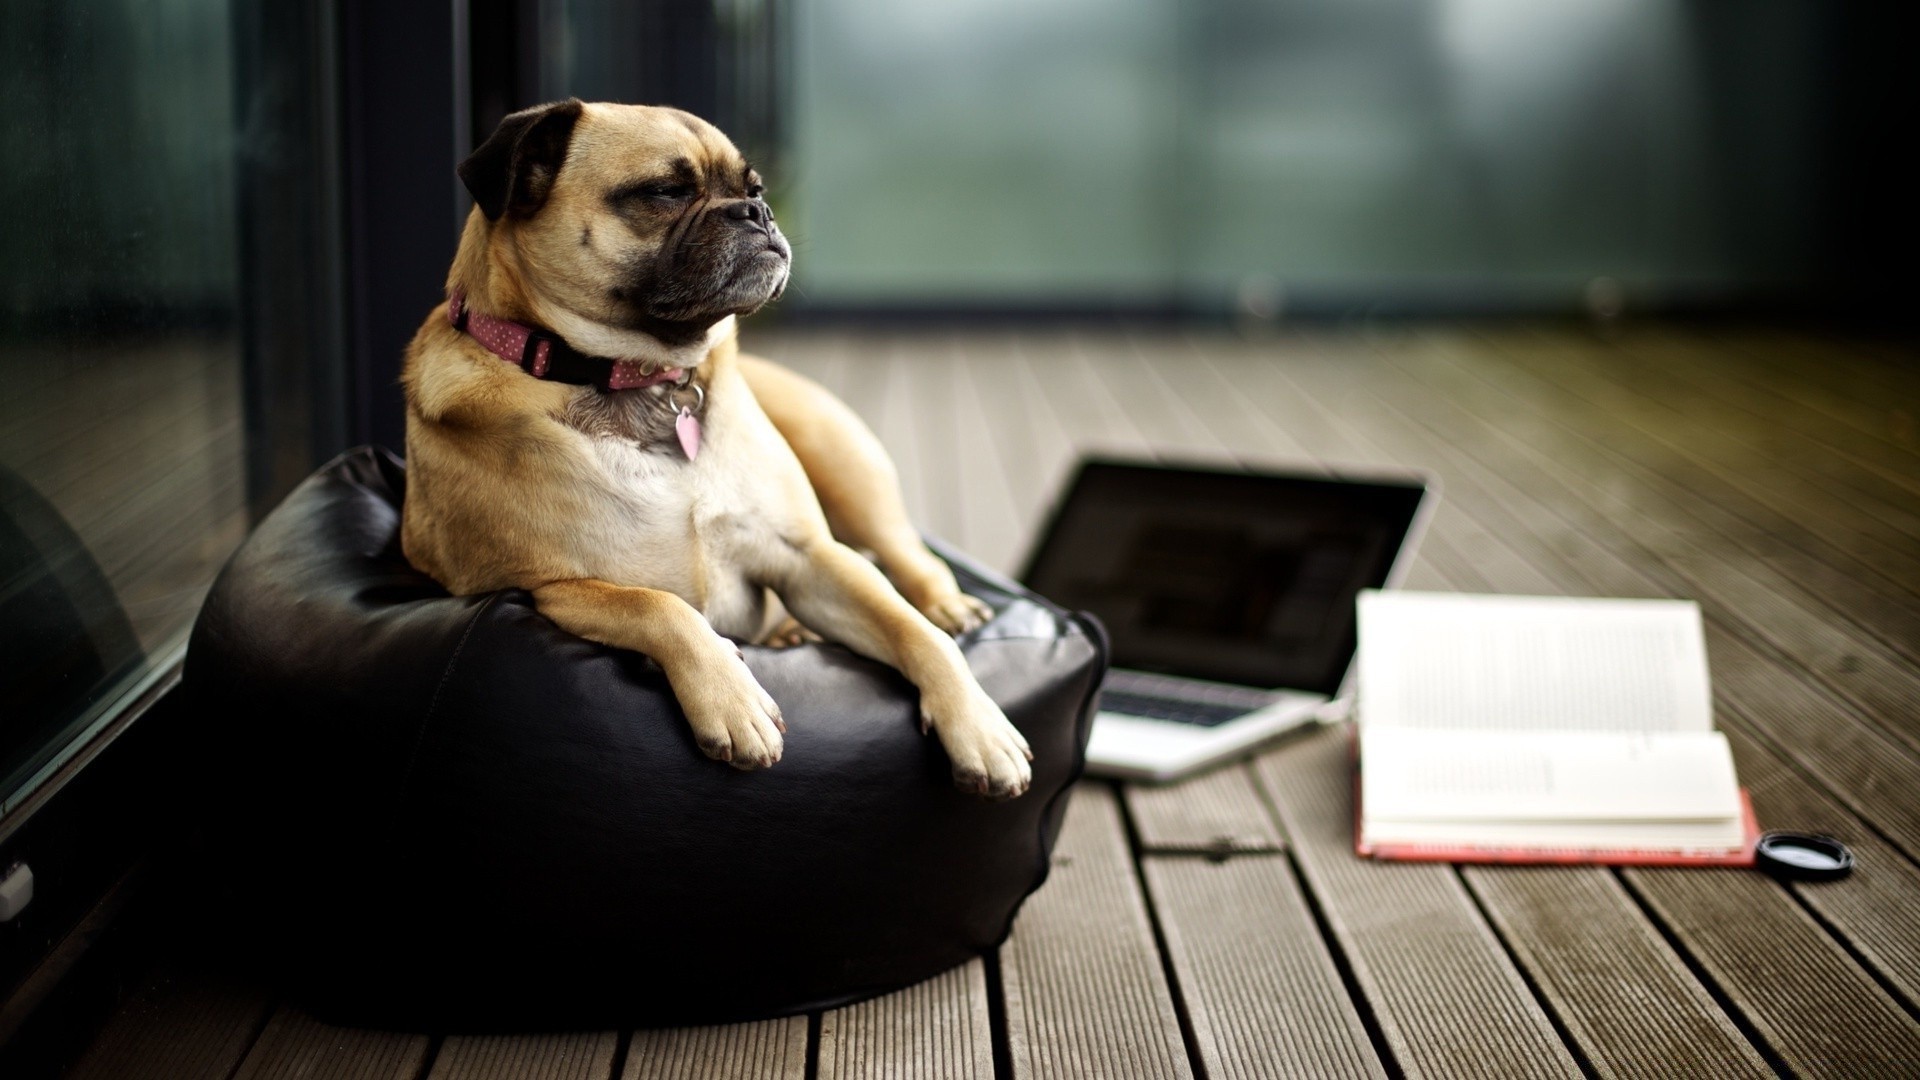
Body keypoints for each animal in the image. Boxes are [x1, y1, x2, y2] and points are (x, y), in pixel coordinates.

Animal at [393, 98, 1036, 799]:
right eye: (665, 193)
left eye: (756, 188)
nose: (757, 212)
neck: (639, 377)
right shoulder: (554, 587)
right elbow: (663, 607)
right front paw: (734, 701)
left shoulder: (810, 557)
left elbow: (914, 632)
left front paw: (980, 727)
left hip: (848, 469)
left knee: (908, 557)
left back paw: (948, 604)